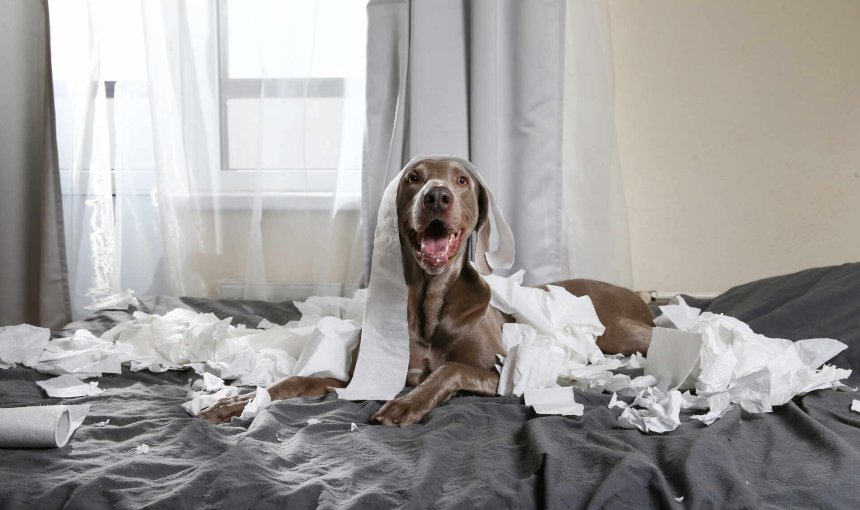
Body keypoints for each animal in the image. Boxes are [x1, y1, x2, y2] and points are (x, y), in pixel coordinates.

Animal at [197, 157, 652, 424]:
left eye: (462, 179)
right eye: (414, 178)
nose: (437, 195)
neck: (429, 304)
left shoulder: (500, 374)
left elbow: (449, 369)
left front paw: (406, 402)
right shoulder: (358, 378)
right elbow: (293, 381)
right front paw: (237, 402)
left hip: (622, 333)